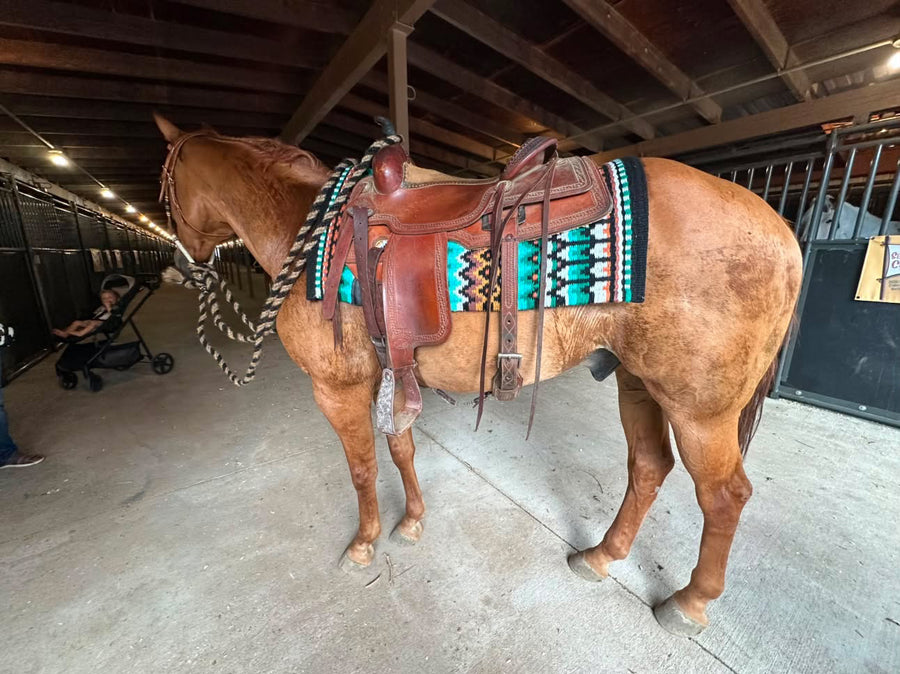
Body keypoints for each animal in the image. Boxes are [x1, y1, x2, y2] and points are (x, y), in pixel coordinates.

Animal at [153, 114, 802, 637]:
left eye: (164, 188)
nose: (179, 264)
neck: (305, 228)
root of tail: (782, 231)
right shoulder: (393, 370)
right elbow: (401, 447)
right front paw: (412, 521)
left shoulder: (336, 388)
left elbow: (363, 468)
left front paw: (363, 544)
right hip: (637, 382)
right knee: (647, 467)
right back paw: (599, 557)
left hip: (699, 408)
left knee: (723, 496)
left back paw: (690, 603)